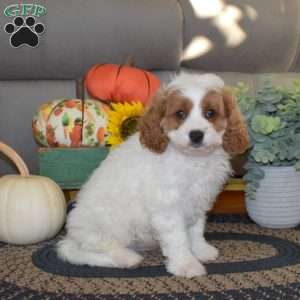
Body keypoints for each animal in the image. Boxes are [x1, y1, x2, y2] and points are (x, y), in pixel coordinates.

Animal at [56, 73, 248, 278]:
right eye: (180, 114)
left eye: (210, 113)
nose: (196, 135)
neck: (191, 159)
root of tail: (73, 234)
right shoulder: (167, 207)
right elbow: (177, 239)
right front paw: (186, 264)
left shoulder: (198, 201)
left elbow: (196, 229)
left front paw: (200, 250)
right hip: (107, 227)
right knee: (88, 249)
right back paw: (126, 257)